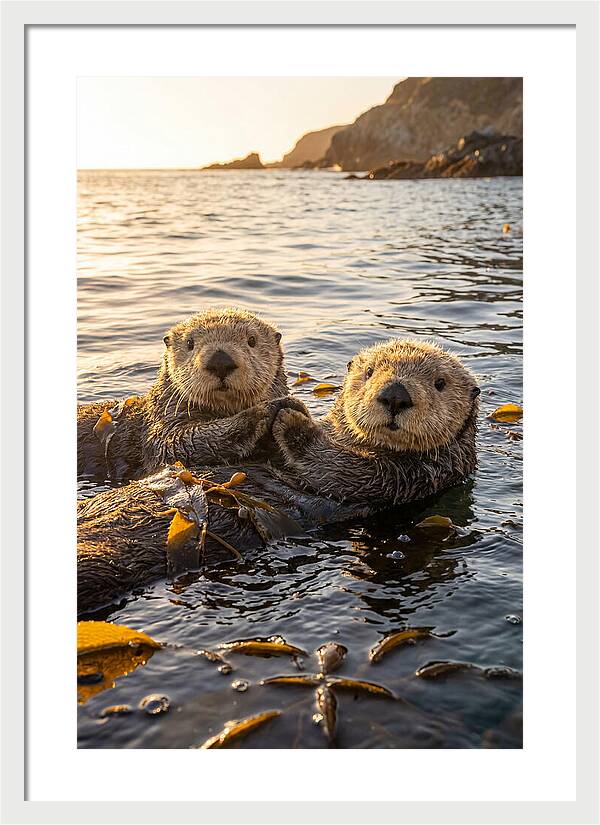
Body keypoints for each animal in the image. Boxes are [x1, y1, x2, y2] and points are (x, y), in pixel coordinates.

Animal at [77, 308, 299, 480]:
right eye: (190, 343)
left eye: (252, 340)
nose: (220, 361)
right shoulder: (163, 427)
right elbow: (178, 443)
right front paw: (268, 409)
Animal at [77, 339, 479, 615]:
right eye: (369, 374)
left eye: (440, 383)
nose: (395, 395)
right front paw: (277, 408)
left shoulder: (408, 477)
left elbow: (336, 467)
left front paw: (290, 417)